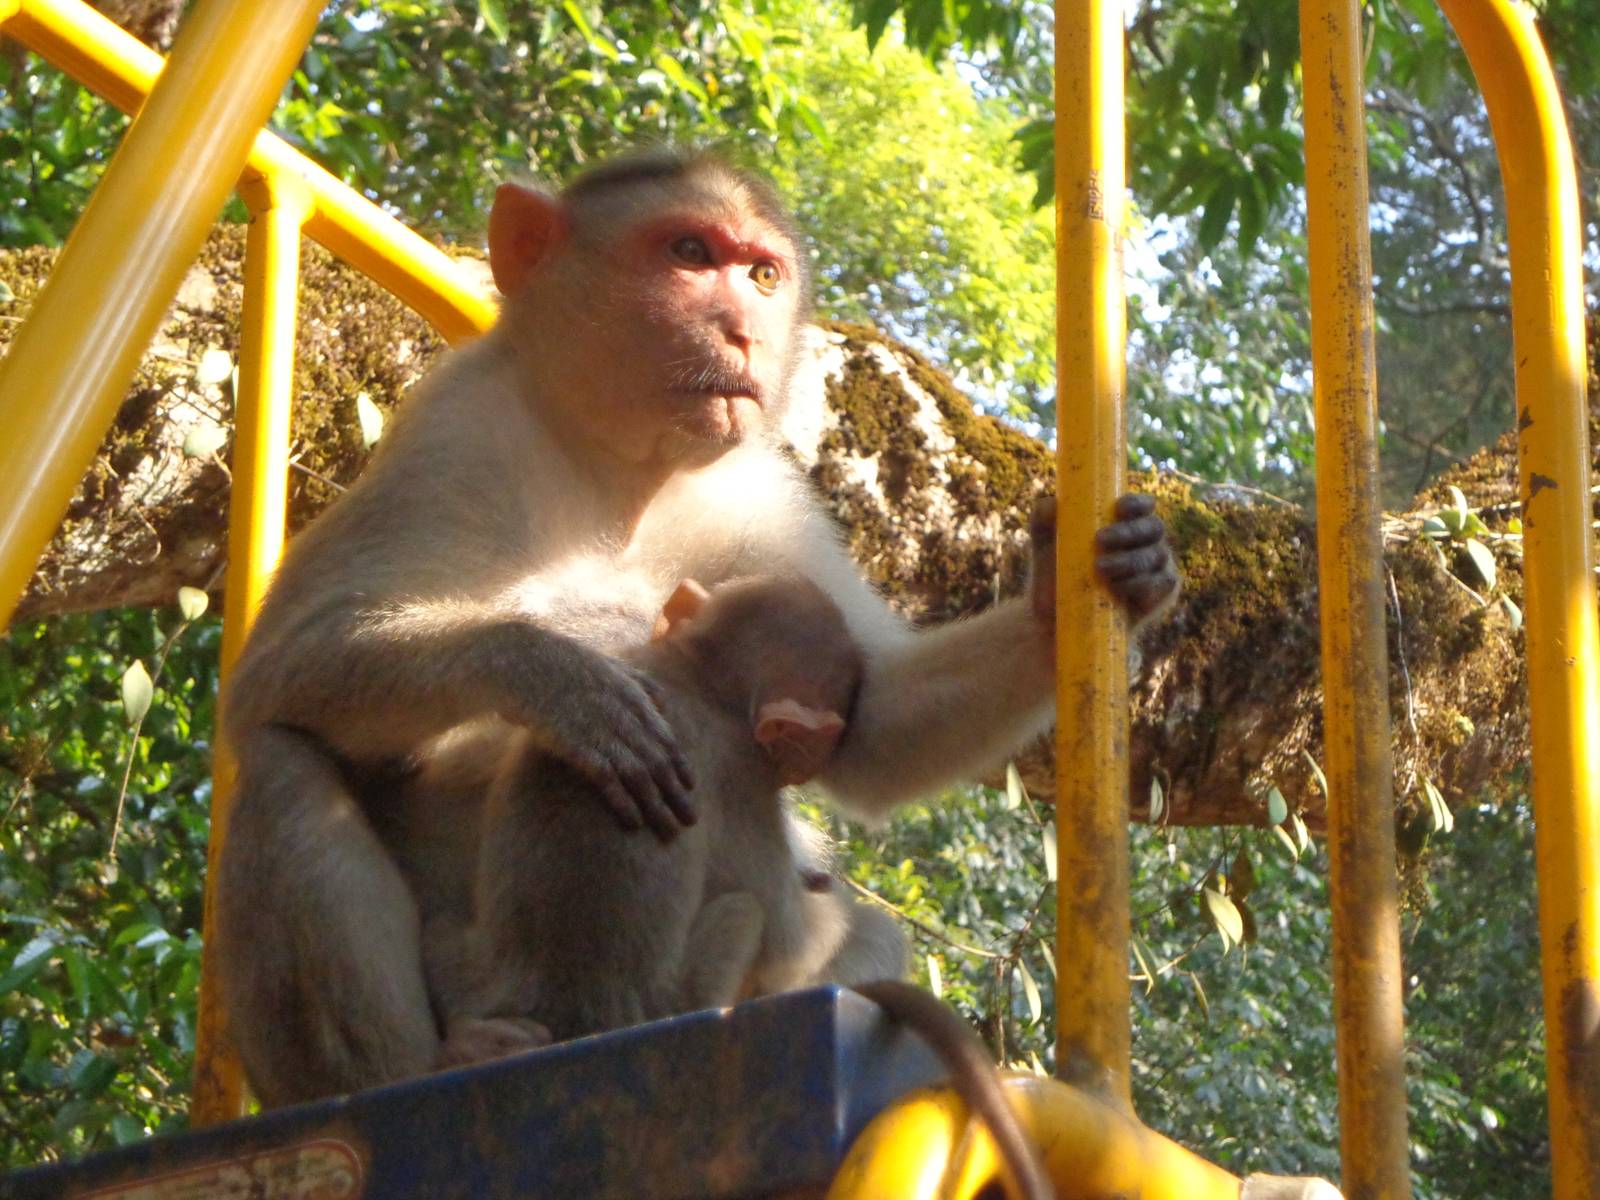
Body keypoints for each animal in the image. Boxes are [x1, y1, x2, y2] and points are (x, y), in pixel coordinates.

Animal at [215, 148, 1179, 1108]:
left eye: (762, 275)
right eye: (689, 252)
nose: (743, 330)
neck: (618, 472)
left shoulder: (758, 494)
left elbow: (872, 724)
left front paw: (1087, 587)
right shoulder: (459, 429)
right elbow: (279, 665)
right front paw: (557, 679)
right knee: (279, 757)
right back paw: (416, 1069)